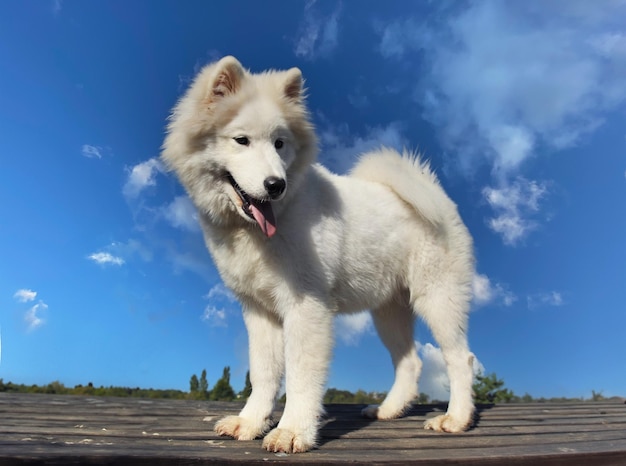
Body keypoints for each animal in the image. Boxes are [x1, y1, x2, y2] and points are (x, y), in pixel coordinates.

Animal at [161, 56, 472, 454]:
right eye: (241, 140)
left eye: (280, 144)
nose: (276, 185)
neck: (255, 230)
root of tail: (437, 194)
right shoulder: (259, 311)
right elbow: (263, 373)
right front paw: (250, 423)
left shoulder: (306, 307)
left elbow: (300, 376)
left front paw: (293, 431)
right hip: (389, 311)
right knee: (411, 362)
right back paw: (388, 411)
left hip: (437, 298)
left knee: (460, 358)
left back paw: (456, 419)